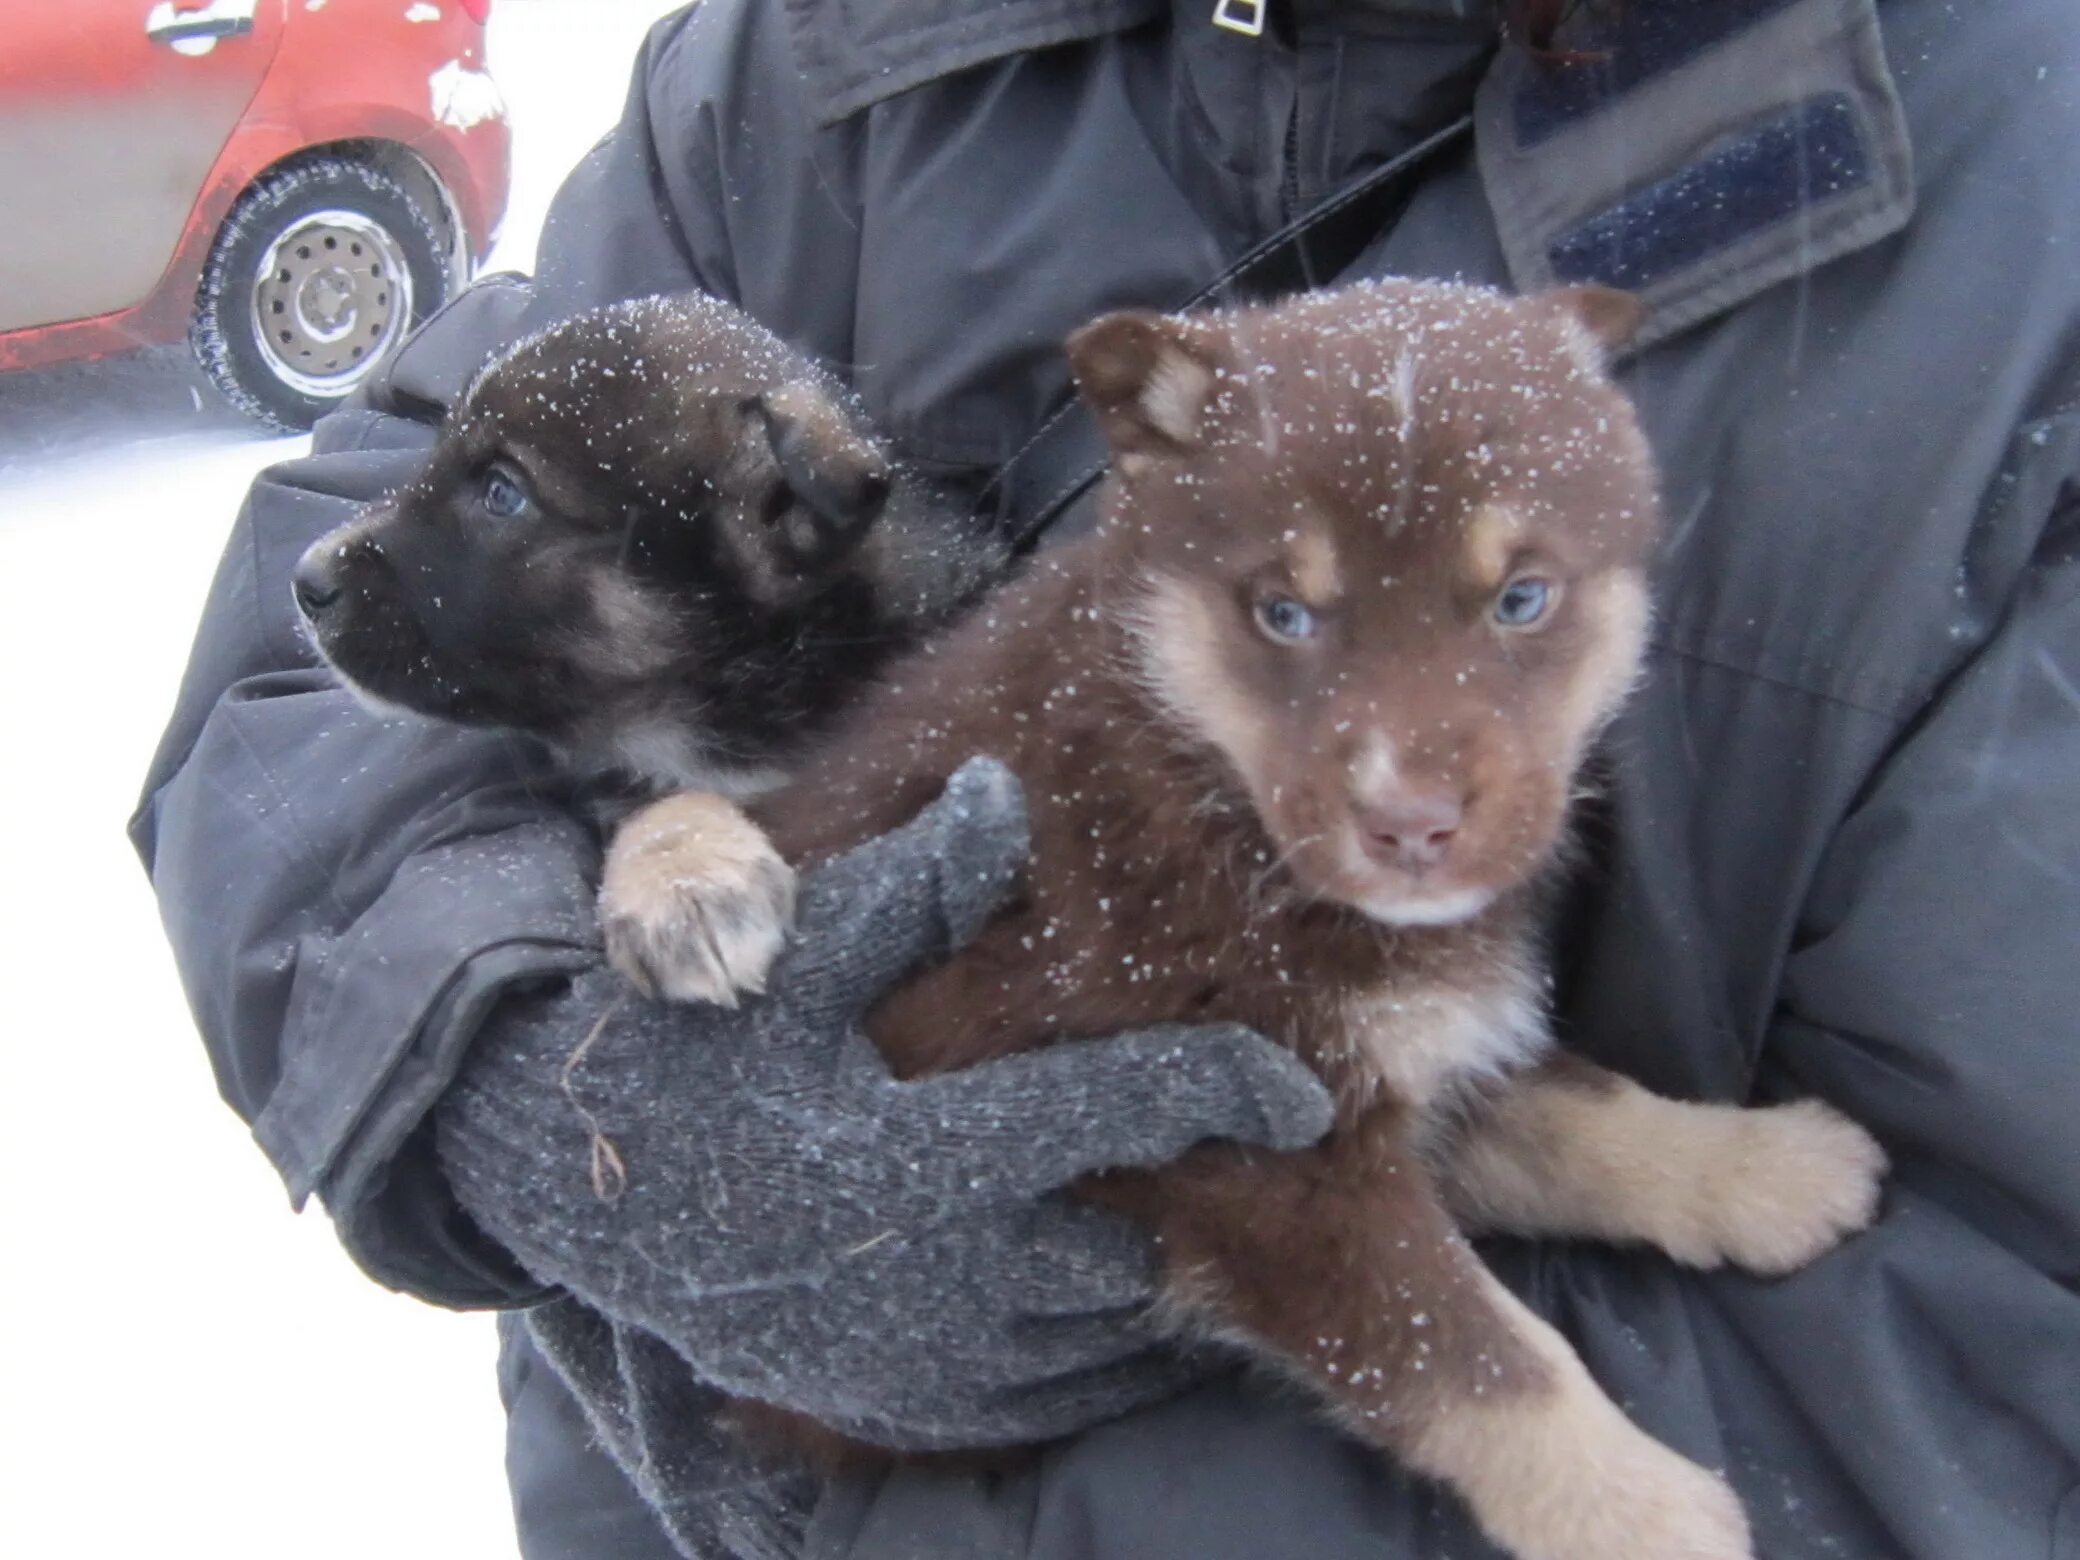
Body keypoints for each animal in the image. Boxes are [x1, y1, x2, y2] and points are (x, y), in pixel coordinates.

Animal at [603, 280, 1888, 1560]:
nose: (1411, 825)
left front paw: (1765, 1166)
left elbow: (1584, 1116)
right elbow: (1471, 1355)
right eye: (1283, 614)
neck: (1198, 772)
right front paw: (1642, 1513)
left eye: (1522, 600)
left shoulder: (1406, 1059)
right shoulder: (1250, 1158)